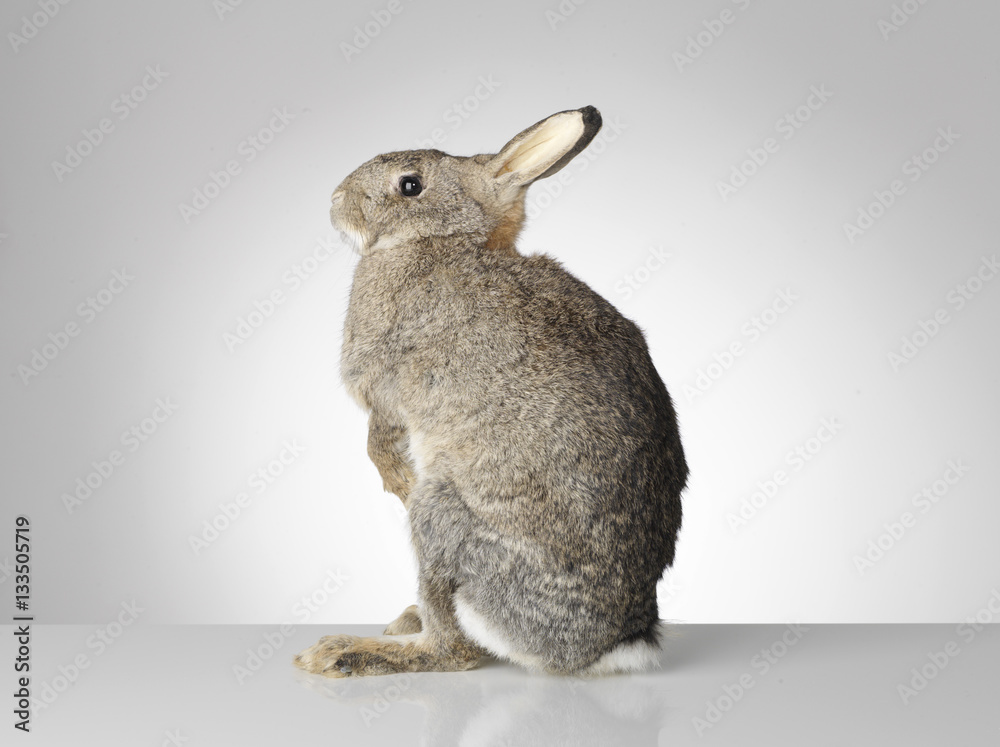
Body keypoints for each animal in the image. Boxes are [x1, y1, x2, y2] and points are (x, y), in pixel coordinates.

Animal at [294, 106, 688, 678]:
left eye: (410, 185)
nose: (334, 199)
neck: (443, 241)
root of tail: (609, 645)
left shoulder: (385, 385)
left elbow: (379, 439)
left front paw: (396, 480)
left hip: (441, 520)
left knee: (451, 650)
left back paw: (348, 651)